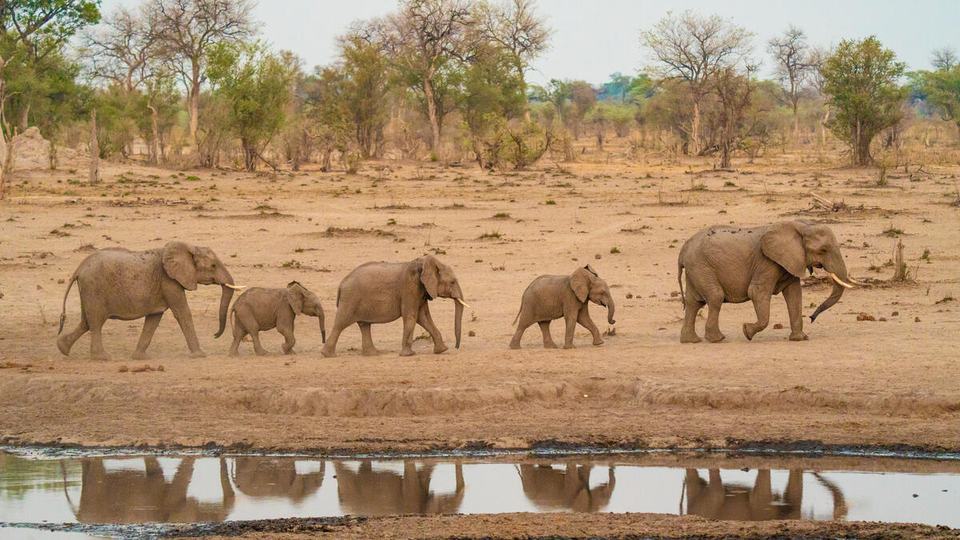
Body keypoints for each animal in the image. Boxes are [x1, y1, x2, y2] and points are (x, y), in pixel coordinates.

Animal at [57, 241, 243, 360]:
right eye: (213, 266)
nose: (215, 335)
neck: (188, 247)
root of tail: (79, 268)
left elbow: (154, 319)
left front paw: (140, 357)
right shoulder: (169, 281)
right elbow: (182, 313)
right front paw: (200, 355)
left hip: (88, 290)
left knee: (86, 322)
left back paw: (63, 349)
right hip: (94, 288)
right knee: (95, 322)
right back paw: (102, 358)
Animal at [320, 255, 468, 357]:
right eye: (452, 282)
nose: (456, 347)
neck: (423, 262)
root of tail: (341, 284)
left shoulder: (421, 291)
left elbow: (423, 317)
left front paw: (442, 350)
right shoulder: (409, 287)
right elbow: (411, 316)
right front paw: (408, 355)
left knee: (364, 325)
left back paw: (373, 354)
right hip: (350, 300)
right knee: (341, 324)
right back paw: (328, 355)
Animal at [677, 220, 857, 343]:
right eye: (823, 250)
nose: (812, 318)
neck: (800, 226)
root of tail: (683, 250)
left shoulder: (789, 262)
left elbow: (794, 295)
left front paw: (800, 338)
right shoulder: (767, 262)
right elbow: (756, 292)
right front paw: (747, 332)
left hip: (696, 269)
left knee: (694, 303)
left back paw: (691, 340)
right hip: (701, 266)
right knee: (715, 297)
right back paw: (718, 339)